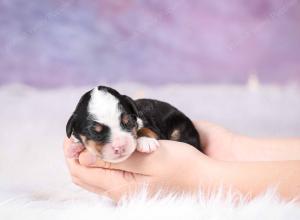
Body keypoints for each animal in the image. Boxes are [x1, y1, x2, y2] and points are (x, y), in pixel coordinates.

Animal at [65, 86, 202, 163]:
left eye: (129, 122)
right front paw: (74, 147)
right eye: (95, 132)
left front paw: (146, 141)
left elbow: (145, 129)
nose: (120, 147)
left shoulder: (151, 125)